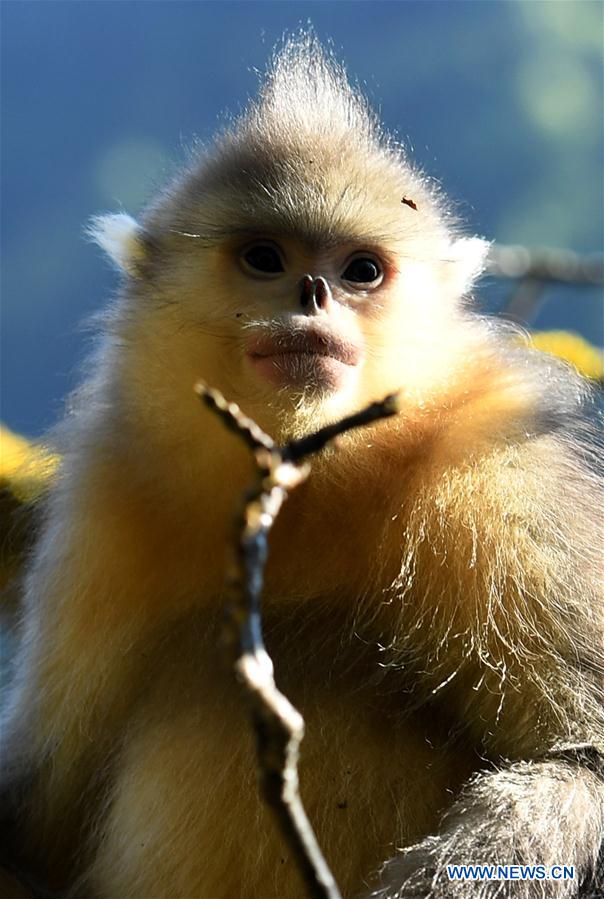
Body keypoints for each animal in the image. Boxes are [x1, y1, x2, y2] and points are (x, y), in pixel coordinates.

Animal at [1, 32, 603, 899]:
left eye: (361, 271)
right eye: (263, 257)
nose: (313, 292)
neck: (306, 471)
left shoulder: (497, 470)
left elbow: (582, 757)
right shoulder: (106, 507)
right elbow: (43, 819)